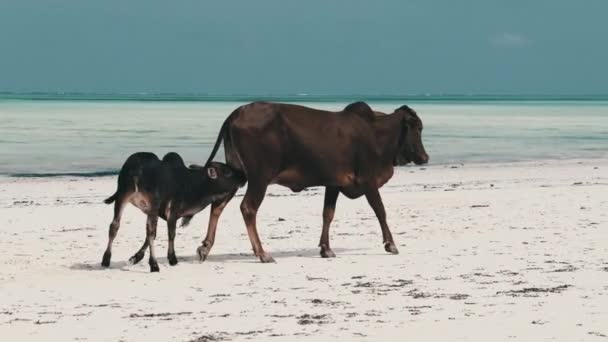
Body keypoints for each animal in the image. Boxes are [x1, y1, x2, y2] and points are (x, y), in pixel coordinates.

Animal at [200, 101, 428, 262]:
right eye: (418, 128)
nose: (425, 157)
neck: (376, 133)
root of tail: (238, 111)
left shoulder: (334, 183)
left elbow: (328, 214)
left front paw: (326, 249)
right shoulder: (368, 180)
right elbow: (380, 210)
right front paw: (391, 244)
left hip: (237, 174)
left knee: (218, 205)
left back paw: (205, 247)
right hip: (259, 178)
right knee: (248, 208)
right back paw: (262, 253)